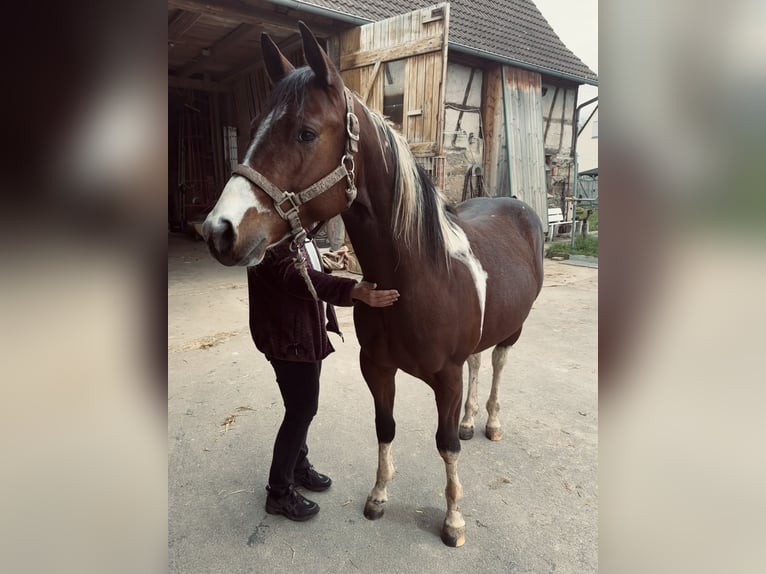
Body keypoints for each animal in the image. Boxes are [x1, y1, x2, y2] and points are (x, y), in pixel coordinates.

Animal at [204, 23, 544, 548]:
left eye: (305, 132)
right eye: (255, 126)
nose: (220, 230)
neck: (417, 279)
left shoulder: (445, 378)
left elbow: (445, 444)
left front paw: (453, 521)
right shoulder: (377, 369)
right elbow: (385, 427)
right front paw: (379, 497)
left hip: (514, 330)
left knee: (498, 364)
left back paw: (489, 423)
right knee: (479, 361)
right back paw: (471, 421)